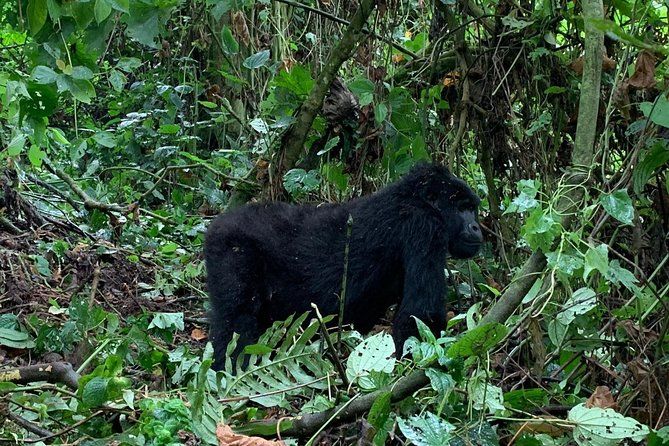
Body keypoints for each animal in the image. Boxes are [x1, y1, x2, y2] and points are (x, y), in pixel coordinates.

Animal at [204, 164, 480, 370]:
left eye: (472, 208)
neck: (412, 196)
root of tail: (216, 225)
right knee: (237, 318)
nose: (477, 227)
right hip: (232, 250)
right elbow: (421, 312)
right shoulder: (424, 226)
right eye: (463, 207)